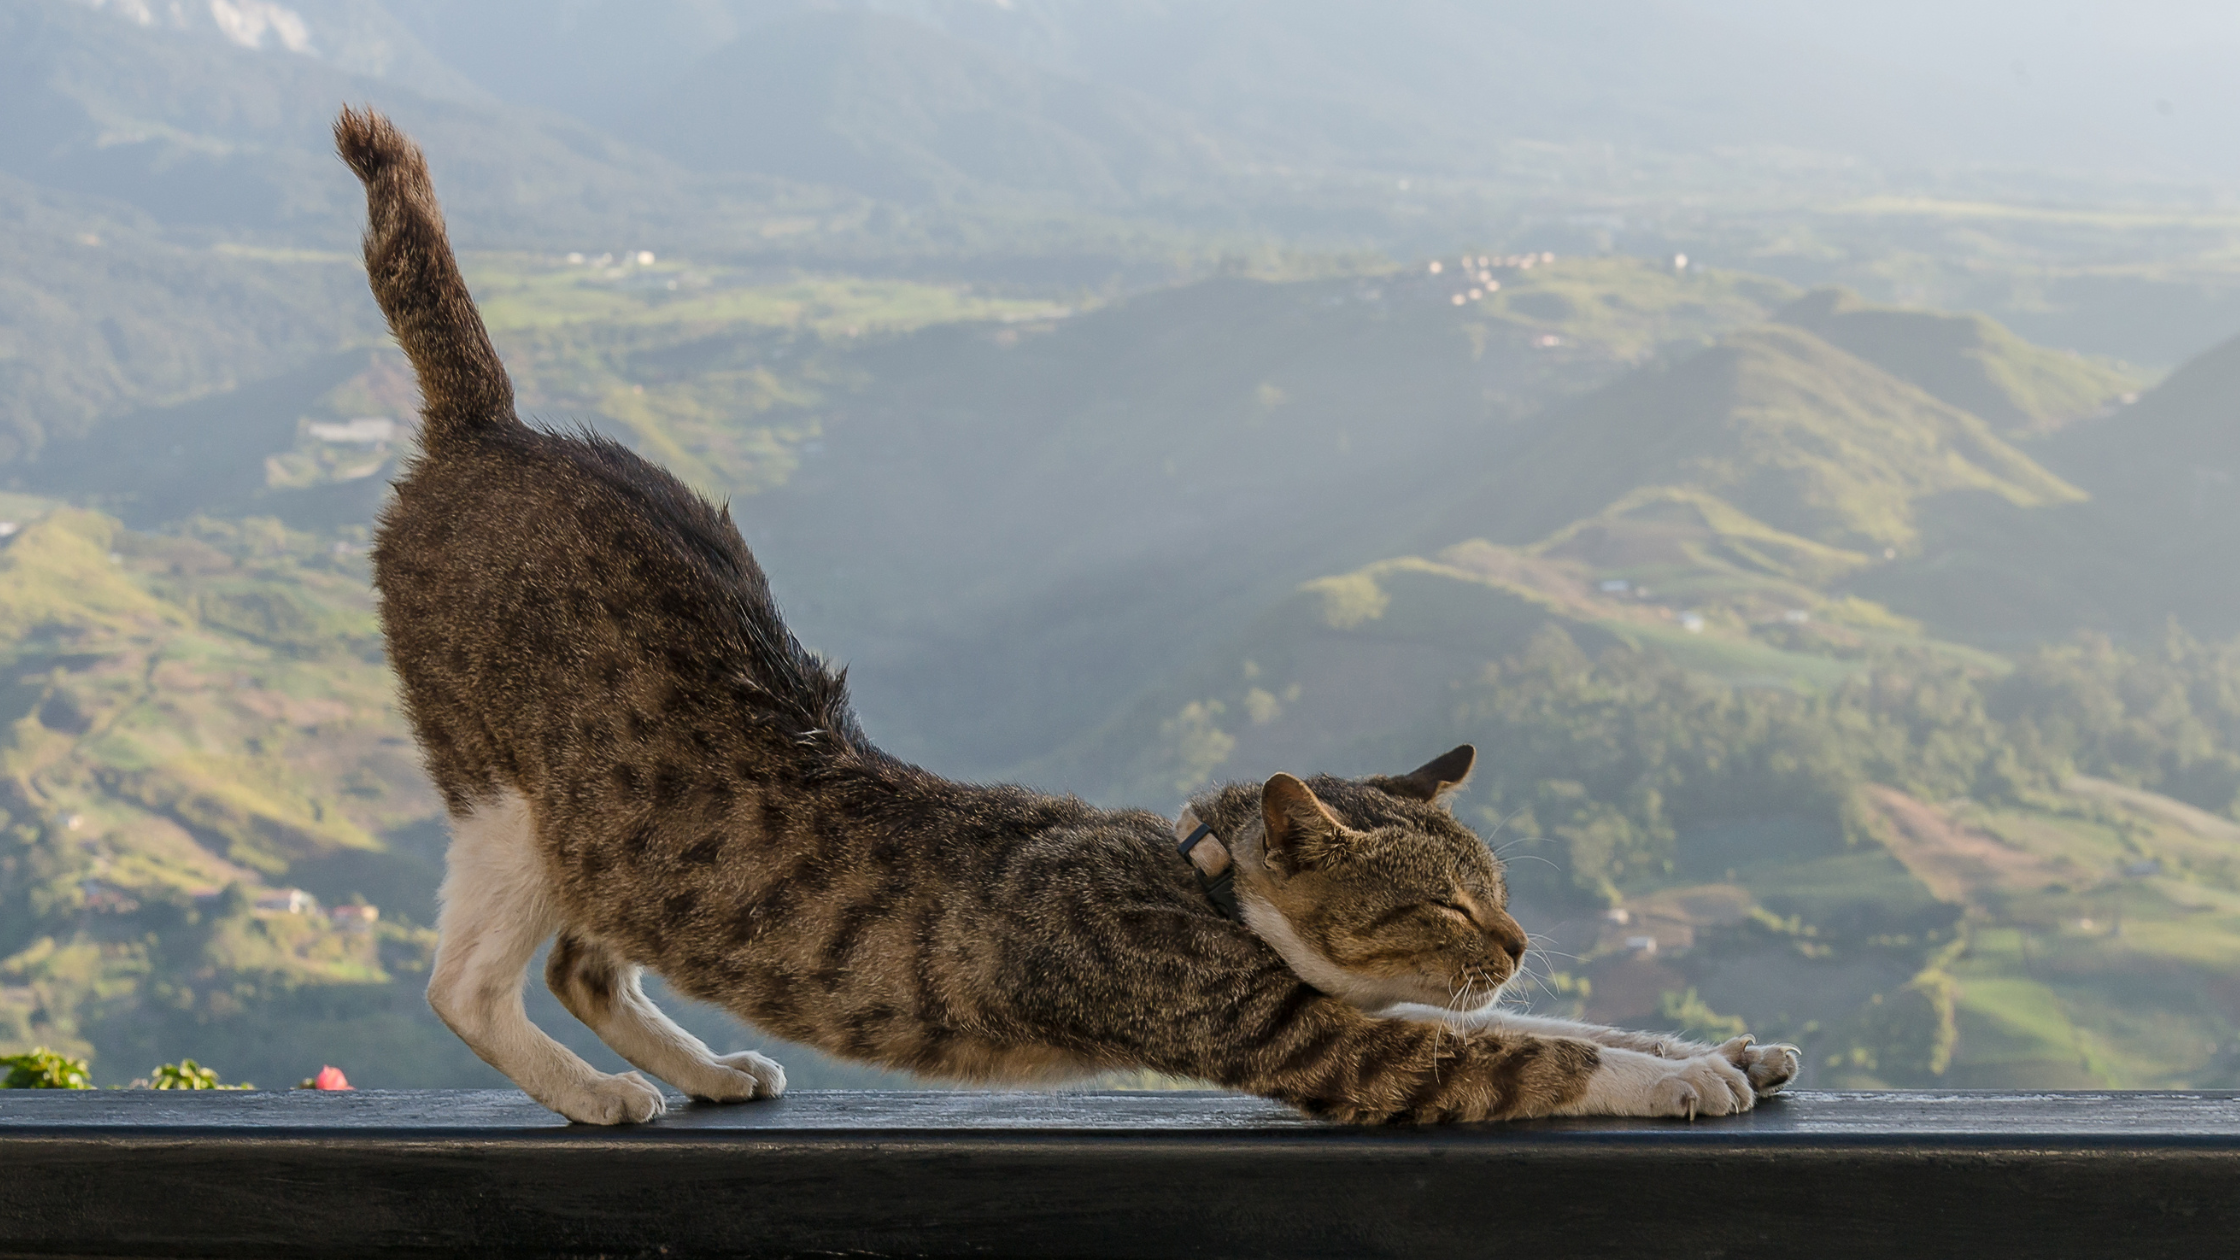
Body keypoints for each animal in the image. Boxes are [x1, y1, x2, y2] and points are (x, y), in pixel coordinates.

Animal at [331, 107, 1800, 1120]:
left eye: (1497, 891)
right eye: (1444, 907)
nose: (1519, 940)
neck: (1209, 886)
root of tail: (490, 423)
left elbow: (1559, 1027)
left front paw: (1716, 1043)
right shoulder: (1307, 1040)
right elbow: (1517, 1056)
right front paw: (1678, 1079)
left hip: (616, 838)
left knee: (588, 963)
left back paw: (699, 1070)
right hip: (511, 799)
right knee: (466, 983)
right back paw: (598, 1093)